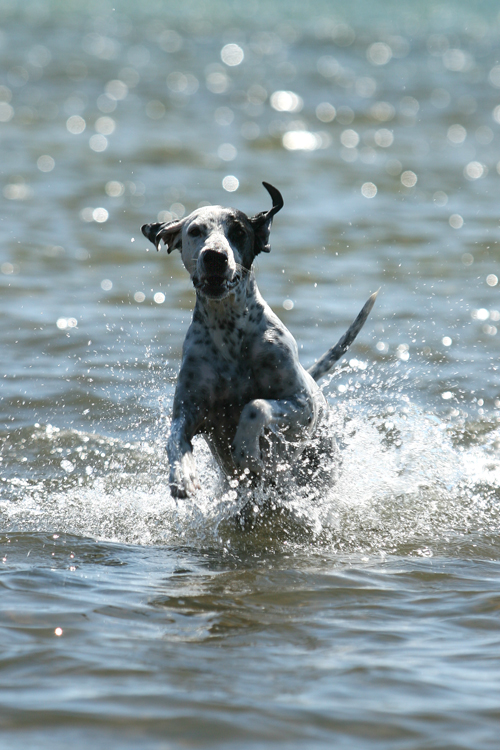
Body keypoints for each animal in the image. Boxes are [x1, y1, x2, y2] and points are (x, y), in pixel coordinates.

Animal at [141, 181, 376, 500]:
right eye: (195, 231)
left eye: (239, 232)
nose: (215, 256)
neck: (229, 329)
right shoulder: (188, 413)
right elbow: (175, 438)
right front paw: (182, 475)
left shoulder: (301, 405)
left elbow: (254, 407)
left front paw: (247, 452)